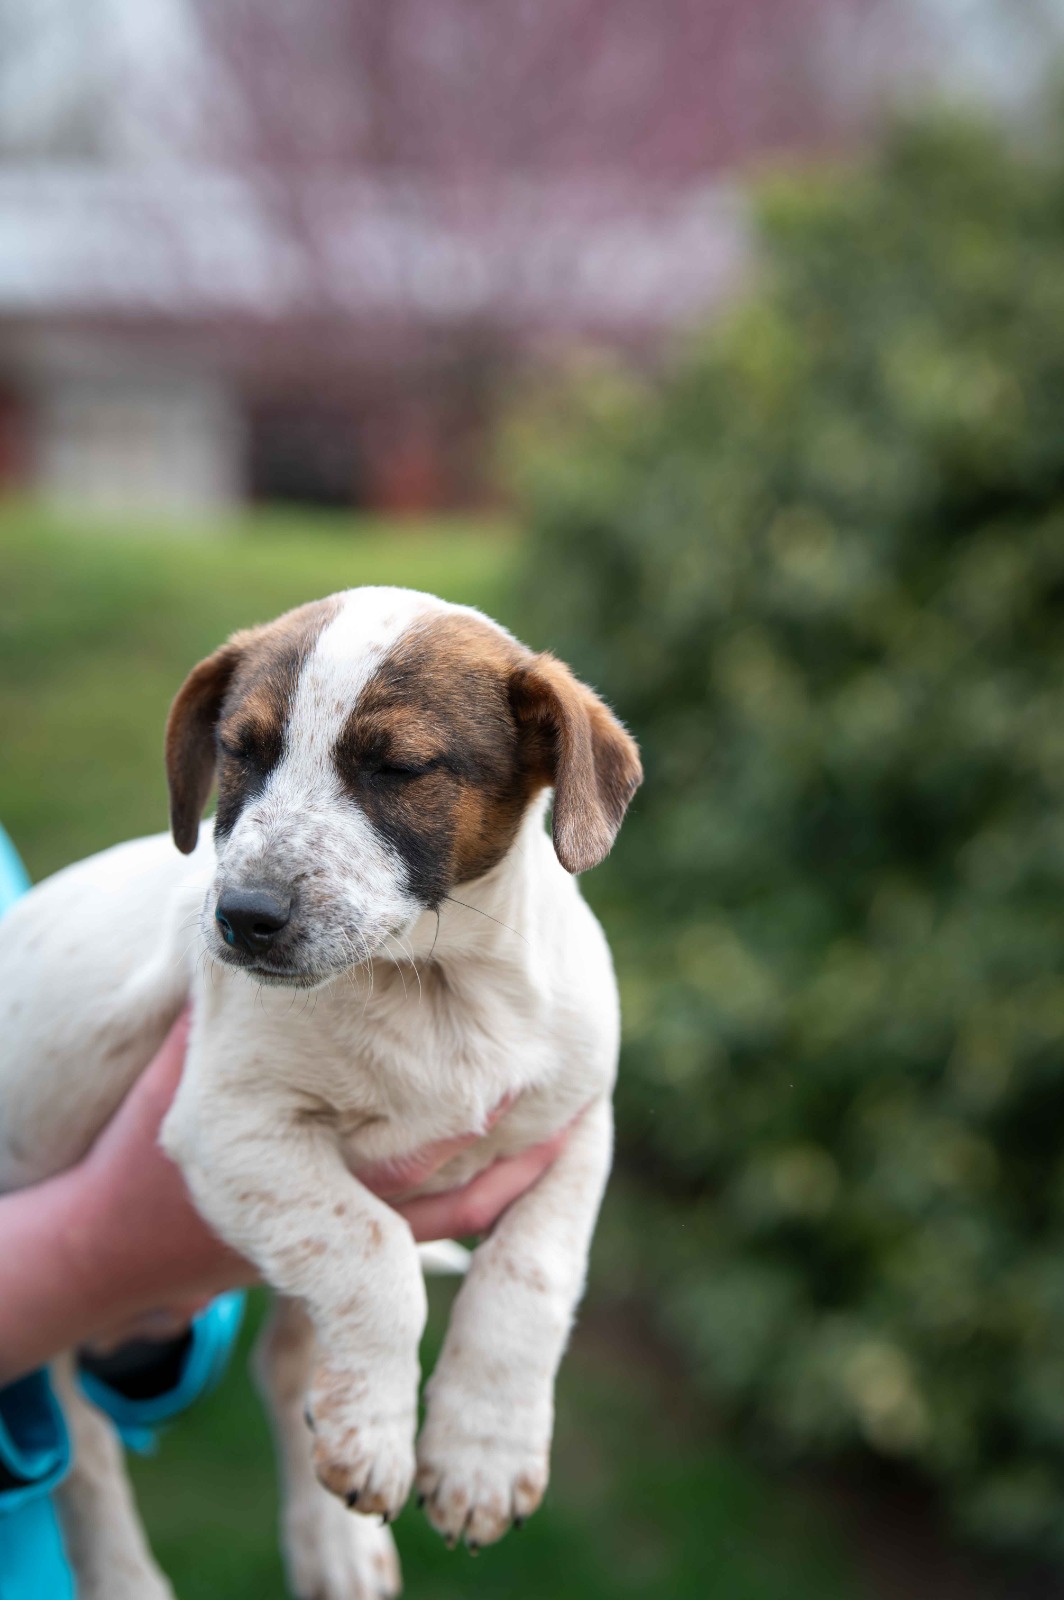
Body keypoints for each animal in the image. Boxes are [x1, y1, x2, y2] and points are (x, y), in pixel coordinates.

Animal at [0, 585, 641, 1600]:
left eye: (398, 767)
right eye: (240, 751)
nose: (243, 918)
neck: (433, 991)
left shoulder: (577, 1124)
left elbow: (528, 1280)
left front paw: (482, 1453)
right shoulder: (231, 1127)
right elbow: (373, 1256)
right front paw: (385, 1433)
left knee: (284, 1361)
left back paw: (332, 1542)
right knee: (87, 1450)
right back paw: (133, 1569)